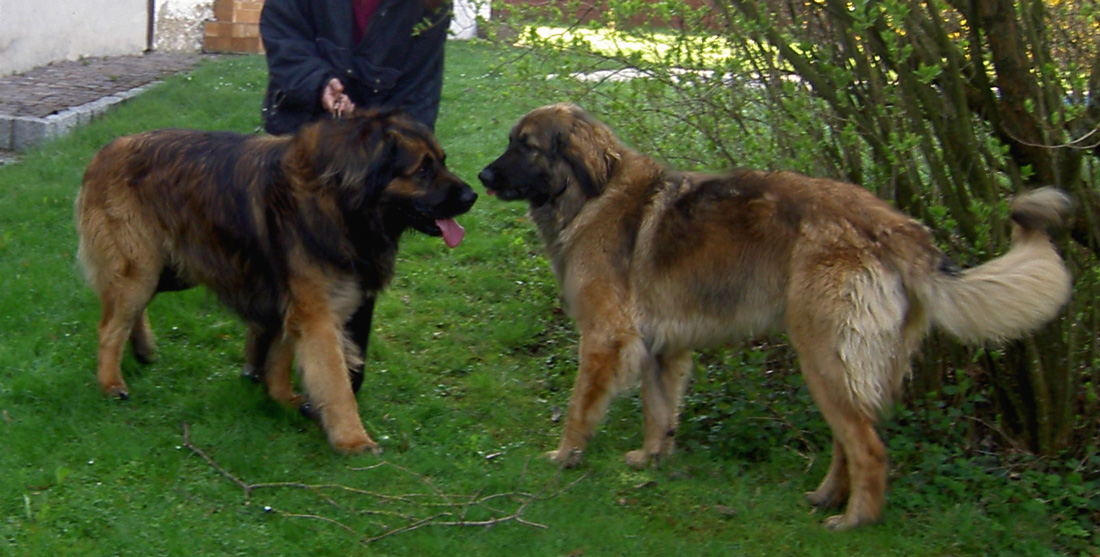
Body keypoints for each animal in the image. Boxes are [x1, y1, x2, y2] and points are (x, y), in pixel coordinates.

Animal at [74, 108, 477, 453]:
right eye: (422, 169)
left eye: (442, 161)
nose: (473, 195)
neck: (339, 199)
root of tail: (102, 153)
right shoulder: (316, 314)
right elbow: (335, 381)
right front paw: (353, 440)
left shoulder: (293, 303)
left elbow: (280, 358)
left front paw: (283, 399)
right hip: (140, 268)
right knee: (109, 326)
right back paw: (111, 383)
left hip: (170, 270)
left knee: (129, 312)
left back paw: (143, 348)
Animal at [477, 103, 1069, 526]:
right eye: (508, 142)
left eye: (526, 146)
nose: (481, 176)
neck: (590, 194)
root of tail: (897, 227)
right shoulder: (662, 348)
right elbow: (658, 412)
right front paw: (651, 460)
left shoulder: (605, 337)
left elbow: (581, 406)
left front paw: (564, 456)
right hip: (842, 361)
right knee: (851, 438)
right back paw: (827, 497)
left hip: (822, 353)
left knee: (869, 448)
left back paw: (854, 520)